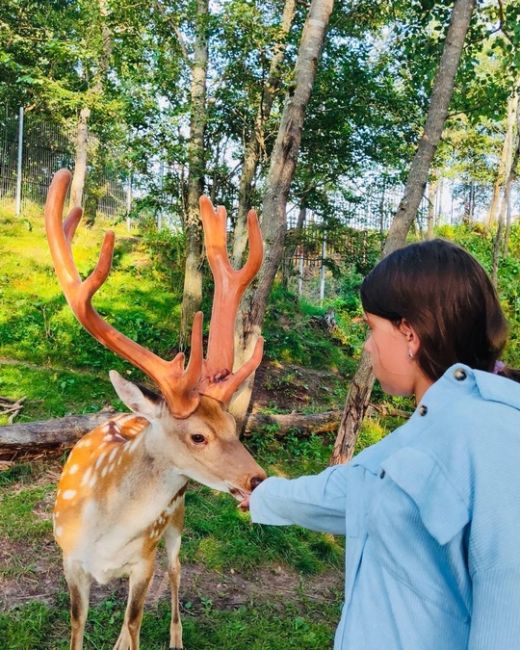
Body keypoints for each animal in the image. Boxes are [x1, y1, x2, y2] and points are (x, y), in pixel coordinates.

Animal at [45, 170, 268, 648]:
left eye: (233, 424)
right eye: (198, 434)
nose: (257, 479)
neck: (104, 533)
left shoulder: (143, 561)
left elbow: (134, 624)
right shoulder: (70, 561)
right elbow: (78, 629)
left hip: (175, 525)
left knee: (176, 576)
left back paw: (176, 638)